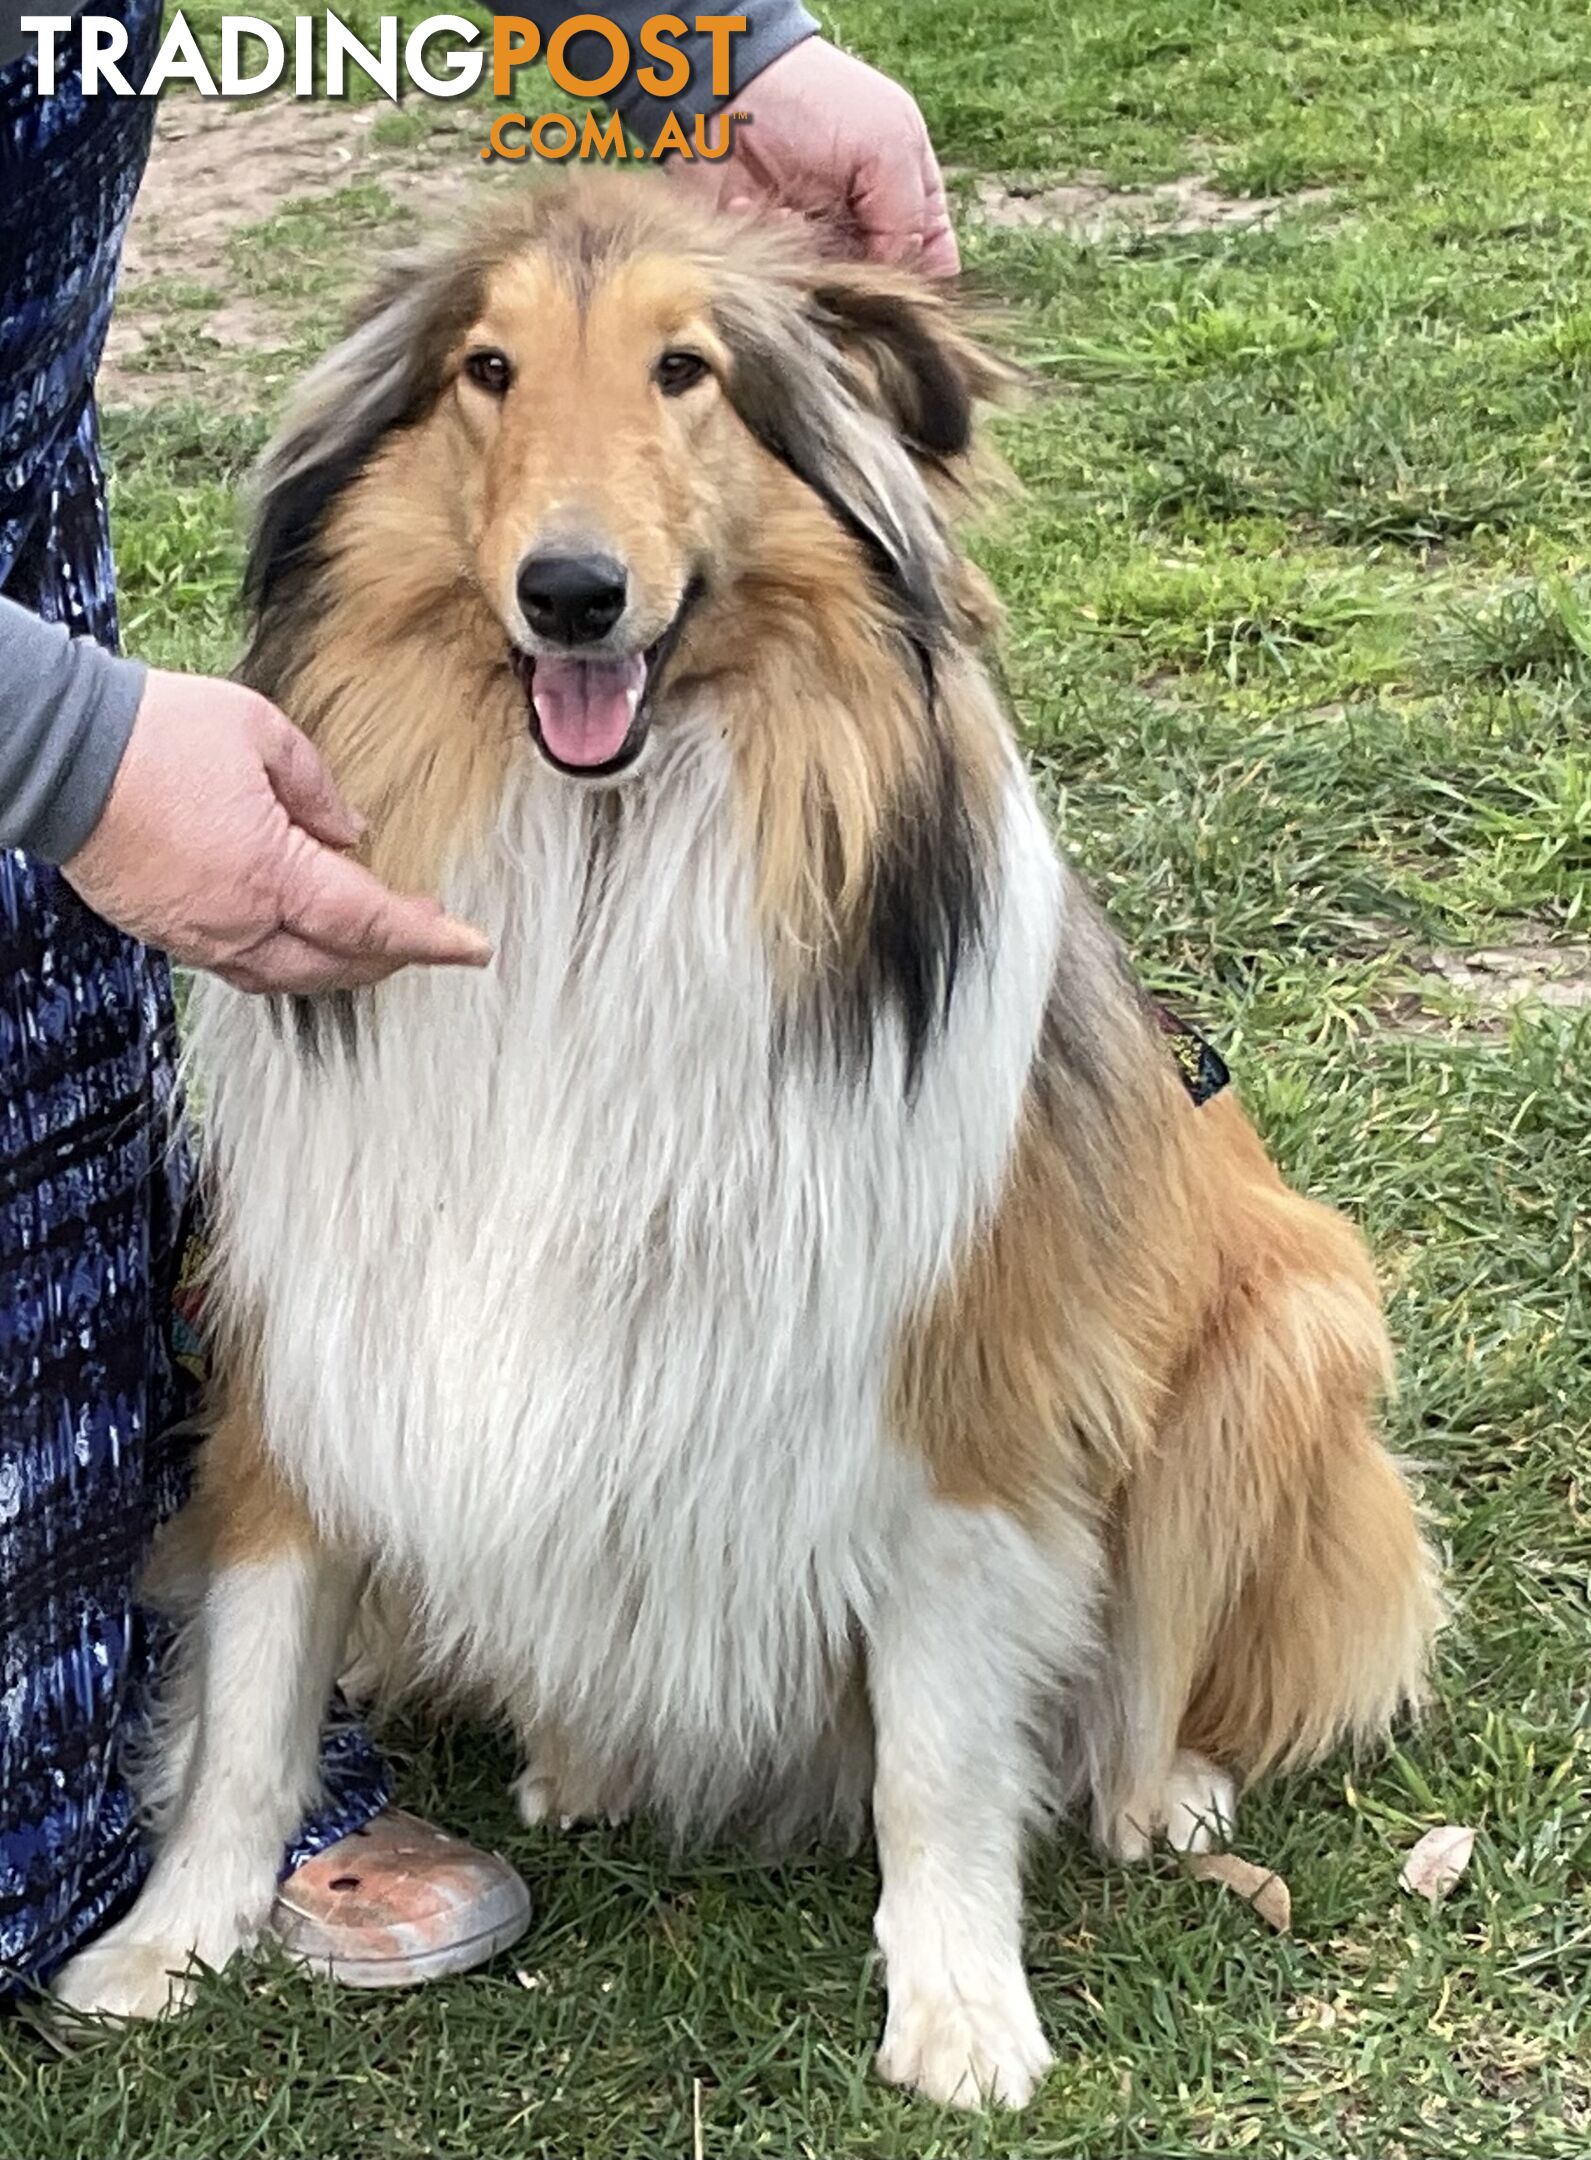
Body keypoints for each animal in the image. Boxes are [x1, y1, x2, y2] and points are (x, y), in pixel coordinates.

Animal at [55, 177, 1442, 2099]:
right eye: (487, 370)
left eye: (686, 370)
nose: (570, 596)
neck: (601, 860)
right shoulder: (312, 1332)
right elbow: (255, 1694)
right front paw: (168, 1942)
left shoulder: (956, 1420)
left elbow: (939, 1756)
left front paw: (961, 2006)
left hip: (1290, 1335)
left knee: (1153, 1681)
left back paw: (1161, 1794)